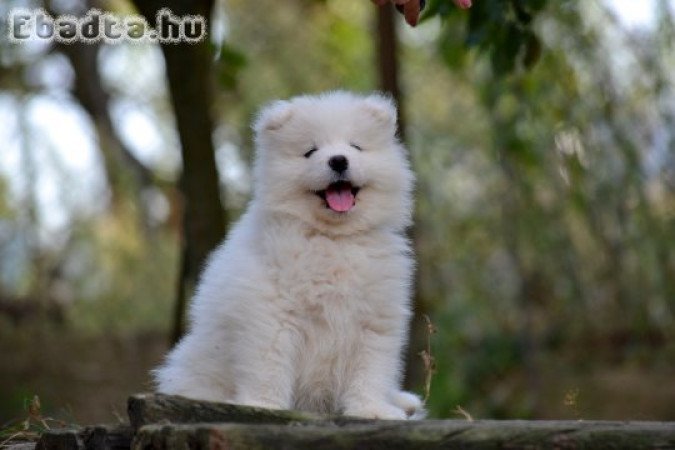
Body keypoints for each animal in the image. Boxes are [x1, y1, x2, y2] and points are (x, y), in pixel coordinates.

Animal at [156, 90, 426, 418]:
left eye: (355, 146)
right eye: (310, 151)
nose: (338, 160)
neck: (333, 239)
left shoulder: (374, 318)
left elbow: (371, 371)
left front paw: (372, 410)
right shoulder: (270, 314)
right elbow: (269, 365)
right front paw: (262, 405)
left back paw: (404, 402)